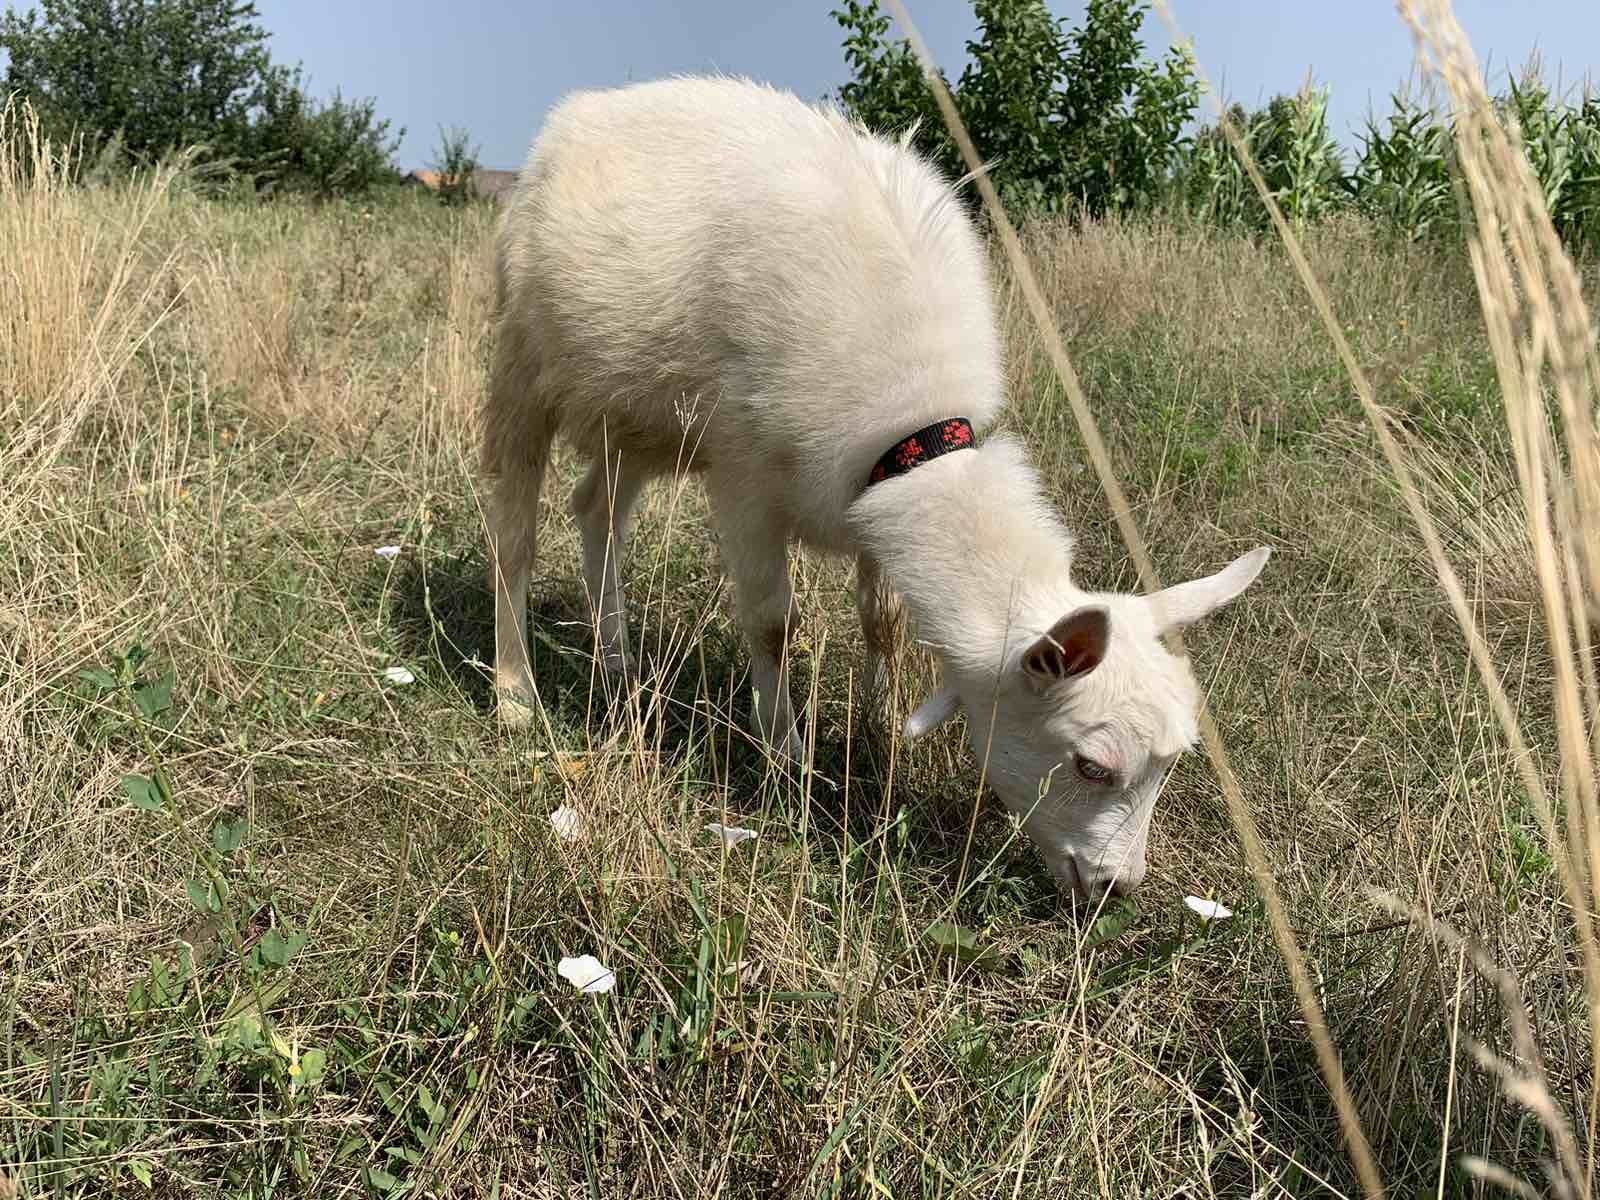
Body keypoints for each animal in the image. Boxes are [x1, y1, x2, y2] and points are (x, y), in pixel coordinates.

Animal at [480, 75, 1267, 896]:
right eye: (1091, 766)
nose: (1118, 888)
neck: (919, 430)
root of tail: (586, 108)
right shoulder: (743, 478)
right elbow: (773, 623)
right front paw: (786, 757)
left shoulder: (871, 494)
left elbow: (883, 621)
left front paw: (885, 728)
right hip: (523, 360)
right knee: (514, 530)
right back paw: (514, 693)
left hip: (634, 414)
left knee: (597, 509)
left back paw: (617, 660)